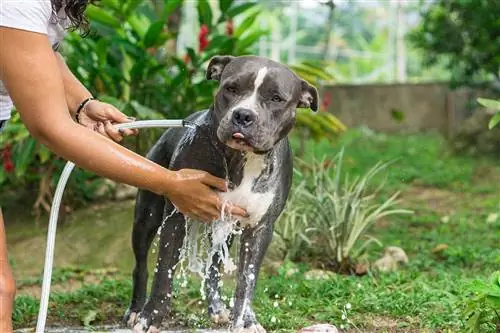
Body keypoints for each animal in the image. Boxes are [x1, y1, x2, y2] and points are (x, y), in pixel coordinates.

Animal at [123, 54, 318, 332]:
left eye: (276, 98)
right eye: (231, 88)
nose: (244, 115)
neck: (239, 159)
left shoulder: (259, 228)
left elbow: (247, 280)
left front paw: (245, 321)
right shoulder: (175, 218)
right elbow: (164, 272)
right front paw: (151, 317)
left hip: (223, 228)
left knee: (212, 270)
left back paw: (216, 308)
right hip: (146, 217)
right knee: (140, 266)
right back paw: (135, 310)